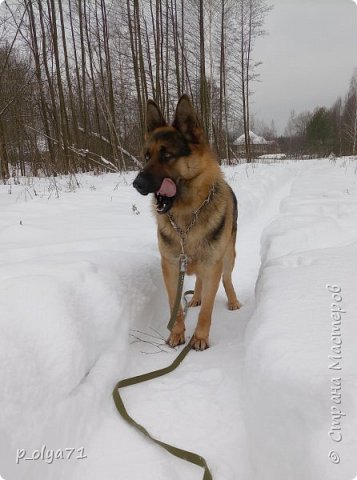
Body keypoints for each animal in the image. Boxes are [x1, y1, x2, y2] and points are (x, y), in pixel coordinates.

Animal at [132, 94, 241, 348]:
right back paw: (196, 298)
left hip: (228, 256)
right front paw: (177, 333)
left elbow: (207, 311)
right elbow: (175, 305)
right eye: (147, 156)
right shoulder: (171, 266)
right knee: (199, 282)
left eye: (167, 155)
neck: (186, 218)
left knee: (227, 278)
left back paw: (232, 300)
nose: (136, 184)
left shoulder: (213, 264)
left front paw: (199, 338)